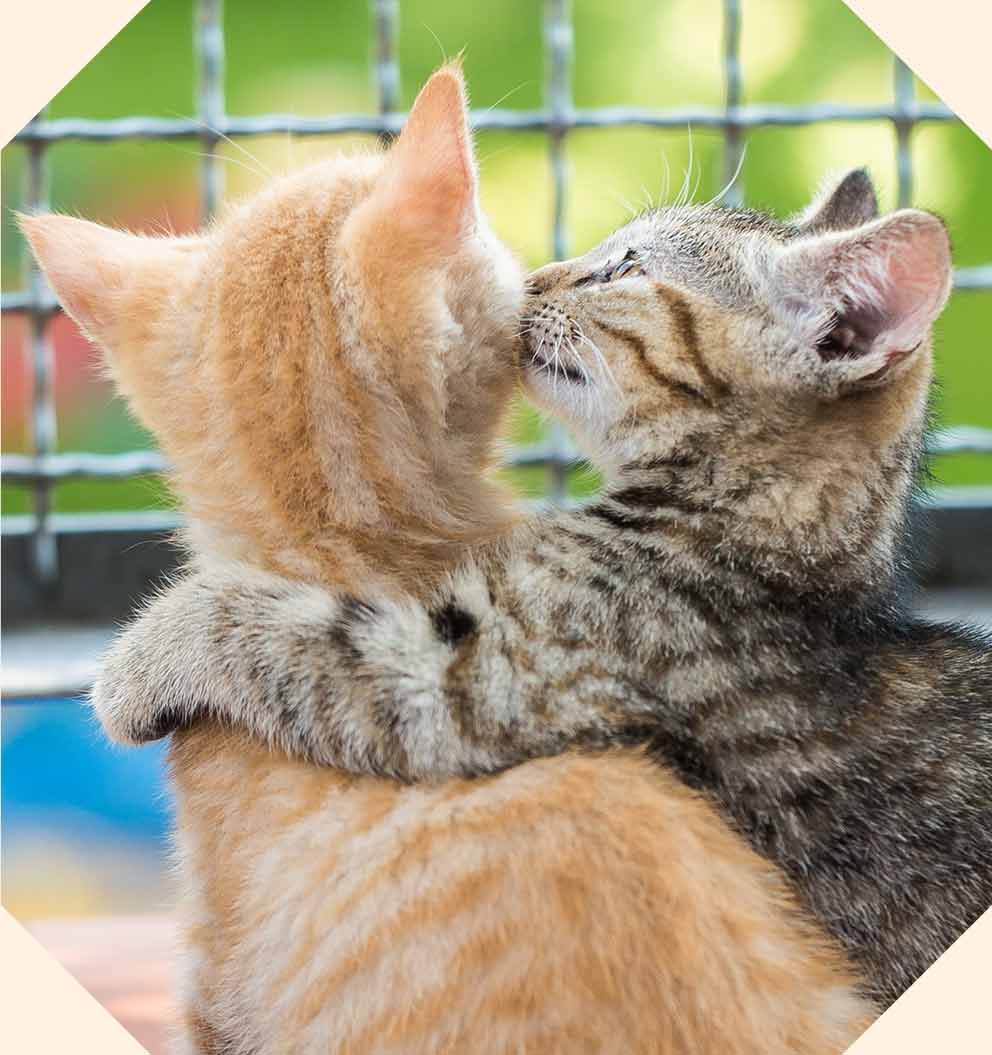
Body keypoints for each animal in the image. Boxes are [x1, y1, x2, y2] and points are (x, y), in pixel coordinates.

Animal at [94, 168, 992, 1008]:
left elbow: (279, 631)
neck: (760, 543)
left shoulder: (483, 676)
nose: (534, 279)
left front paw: (143, 656)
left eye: (626, 266)